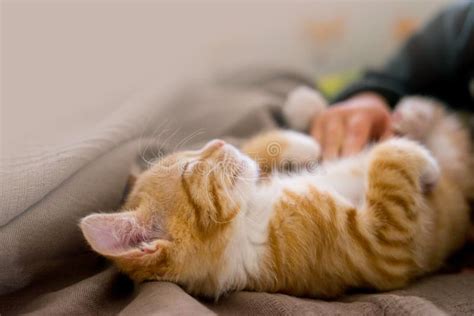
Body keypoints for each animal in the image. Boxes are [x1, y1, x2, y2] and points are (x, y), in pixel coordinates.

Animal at [79, 87, 472, 298]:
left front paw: (303, 142)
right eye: (190, 170)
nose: (216, 142)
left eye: (190, 154)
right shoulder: (383, 248)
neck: (251, 213)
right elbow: (387, 167)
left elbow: (257, 151)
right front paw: (407, 153)